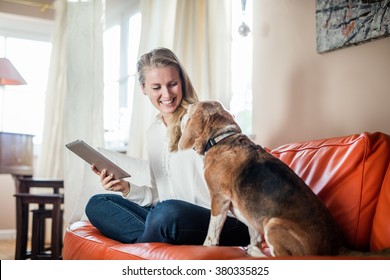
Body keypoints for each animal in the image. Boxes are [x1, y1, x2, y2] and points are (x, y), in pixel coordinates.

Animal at [177, 100, 344, 256]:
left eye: (189, 110)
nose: (179, 116)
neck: (220, 139)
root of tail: (334, 250)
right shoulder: (250, 216)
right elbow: (254, 236)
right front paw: (254, 245)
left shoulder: (219, 198)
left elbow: (212, 233)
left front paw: (207, 247)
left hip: (273, 224)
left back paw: (254, 252)